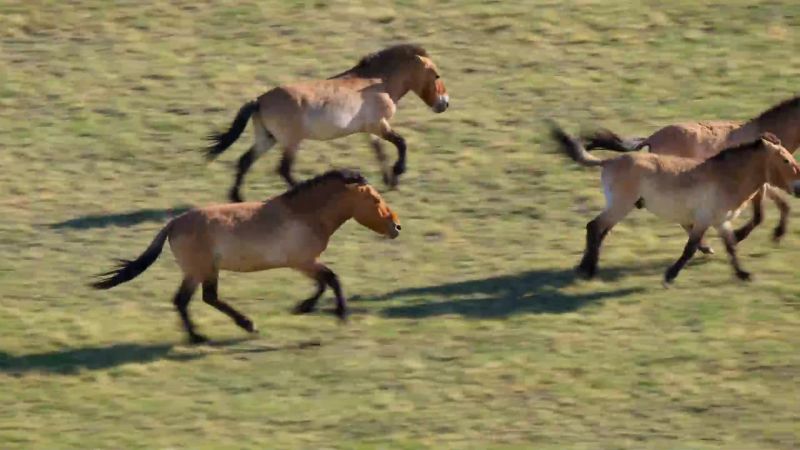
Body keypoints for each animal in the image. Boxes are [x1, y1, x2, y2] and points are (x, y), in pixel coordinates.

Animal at [90, 169, 401, 344]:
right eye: (375, 200)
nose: (397, 227)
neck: (303, 214)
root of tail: (173, 224)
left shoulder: (303, 263)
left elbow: (324, 282)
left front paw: (304, 307)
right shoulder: (302, 262)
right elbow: (332, 279)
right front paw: (339, 315)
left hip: (200, 272)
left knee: (193, 300)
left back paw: (211, 333)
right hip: (201, 270)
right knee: (197, 299)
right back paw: (224, 330)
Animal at [205, 44, 449, 202]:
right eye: (436, 75)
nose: (445, 103)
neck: (378, 83)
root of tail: (260, 100)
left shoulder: (370, 130)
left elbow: (380, 152)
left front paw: (391, 181)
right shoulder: (379, 125)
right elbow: (401, 143)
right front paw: (398, 172)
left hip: (267, 138)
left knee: (245, 161)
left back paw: (236, 197)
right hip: (291, 141)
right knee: (283, 169)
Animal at [549, 123, 800, 284]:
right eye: (785, 160)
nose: (799, 187)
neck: (726, 176)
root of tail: (609, 161)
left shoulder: (721, 221)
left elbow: (731, 247)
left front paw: (744, 274)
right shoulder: (704, 220)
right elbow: (690, 248)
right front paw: (670, 275)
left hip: (619, 206)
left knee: (599, 231)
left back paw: (584, 268)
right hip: (620, 205)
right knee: (595, 227)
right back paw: (588, 270)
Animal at [582, 95, 800, 249]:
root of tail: (652, 138)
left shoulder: (763, 183)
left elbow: (781, 205)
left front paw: (777, 233)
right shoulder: (758, 184)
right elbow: (760, 215)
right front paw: (740, 236)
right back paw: (704, 247)